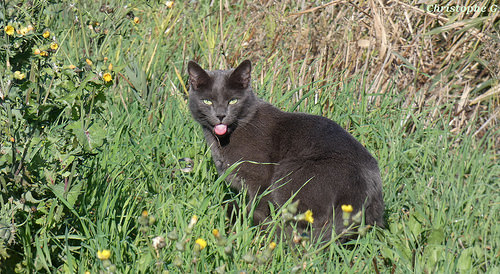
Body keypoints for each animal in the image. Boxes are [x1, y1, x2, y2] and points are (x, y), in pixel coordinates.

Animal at [187, 59, 382, 240]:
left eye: (233, 101)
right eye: (207, 101)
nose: (220, 115)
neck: (223, 139)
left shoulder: (260, 178)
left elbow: (257, 204)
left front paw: (248, 220)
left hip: (288, 173)